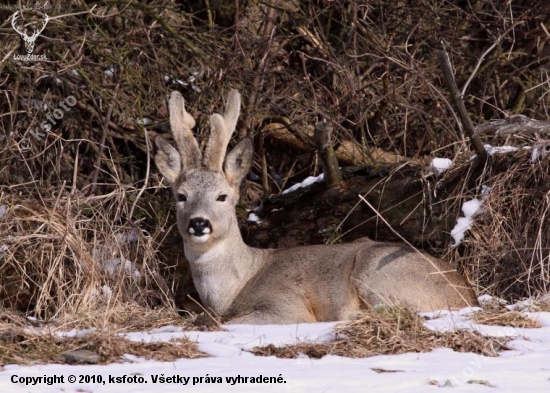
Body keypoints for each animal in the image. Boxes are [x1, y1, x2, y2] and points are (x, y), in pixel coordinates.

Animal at [154, 89, 478, 324]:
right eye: (181, 195)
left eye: (222, 196)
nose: (199, 223)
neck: (233, 289)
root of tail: (468, 295)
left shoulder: (287, 305)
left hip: (378, 272)